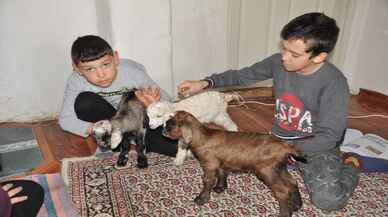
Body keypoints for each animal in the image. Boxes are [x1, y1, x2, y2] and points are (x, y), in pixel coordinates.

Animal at [163, 111, 306, 216]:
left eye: (171, 124)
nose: (163, 131)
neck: (202, 137)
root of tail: (284, 146)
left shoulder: (209, 165)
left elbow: (207, 181)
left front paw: (202, 199)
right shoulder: (220, 163)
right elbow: (222, 174)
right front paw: (220, 188)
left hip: (267, 171)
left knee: (282, 191)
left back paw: (284, 213)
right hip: (279, 169)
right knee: (292, 182)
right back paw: (296, 205)